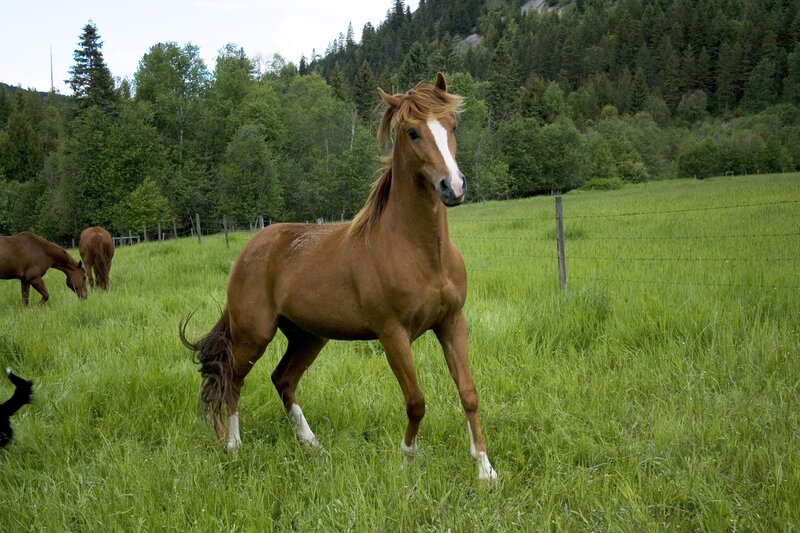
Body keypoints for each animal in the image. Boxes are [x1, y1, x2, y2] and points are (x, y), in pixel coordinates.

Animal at [180, 73, 497, 482]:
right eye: (412, 132)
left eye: (452, 125)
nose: (452, 187)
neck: (422, 254)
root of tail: (249, 249)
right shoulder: (393, 334)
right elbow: (416, 401)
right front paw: (406, 459)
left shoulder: (452, 323)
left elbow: (469, 394)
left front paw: (485, 470)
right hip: (254, 334)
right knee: (233, 379)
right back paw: (234, 448)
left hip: (308, 337)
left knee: (282, 380)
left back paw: (314, 448)